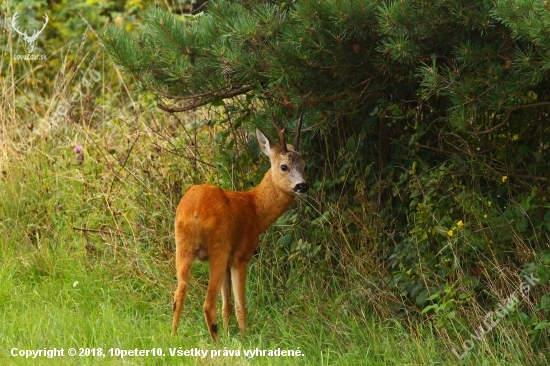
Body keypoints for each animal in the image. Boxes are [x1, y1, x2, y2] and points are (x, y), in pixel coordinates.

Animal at [172, 118, 308, 344]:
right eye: (284, 166)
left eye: (304, 165)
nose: (302, 186)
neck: (255, 209)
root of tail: (194, 211)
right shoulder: (240, 256)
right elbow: (239, 305)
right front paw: (245, 338)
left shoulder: (229, 261)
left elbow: (227, 305)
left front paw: (230, 334)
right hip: (218, 246)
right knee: (208, 303)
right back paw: (216, 344)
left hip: (182, 246)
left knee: (178, 293)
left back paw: (173, 336)